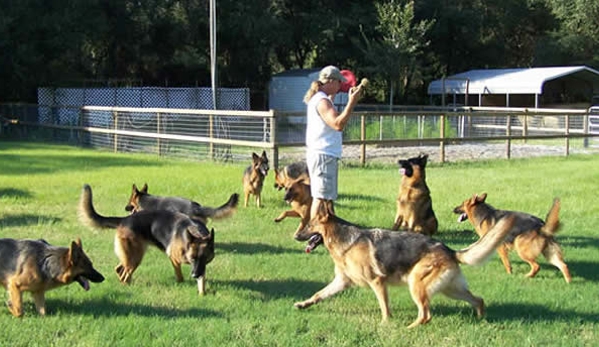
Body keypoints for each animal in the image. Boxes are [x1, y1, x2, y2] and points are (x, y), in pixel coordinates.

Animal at [79, 184, 216, 294]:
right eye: (192, 258)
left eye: (204, 258)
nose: (194, 275)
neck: (194, 232)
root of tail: (124, 219)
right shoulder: (174, 259)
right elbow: (180, 276)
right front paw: (182, 284)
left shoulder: (201, 266)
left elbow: (202, 281)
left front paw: (202, 292)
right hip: (135, 258)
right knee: (125, 275)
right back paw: (127, 286)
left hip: (131, 256)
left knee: (119, 269)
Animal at [294, 204, 516, 328]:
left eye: (308, 226)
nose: (295, 236)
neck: (344, 241)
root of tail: (450, 250)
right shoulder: (341, 282)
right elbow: (318, 294)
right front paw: (303, 304)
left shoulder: (377, 282)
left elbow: (385, 307)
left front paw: (385, 324)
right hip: (451, 290)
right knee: (478, 300)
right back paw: (481, 319)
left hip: (417, 286)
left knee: (425, 315)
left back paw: (409, 328)